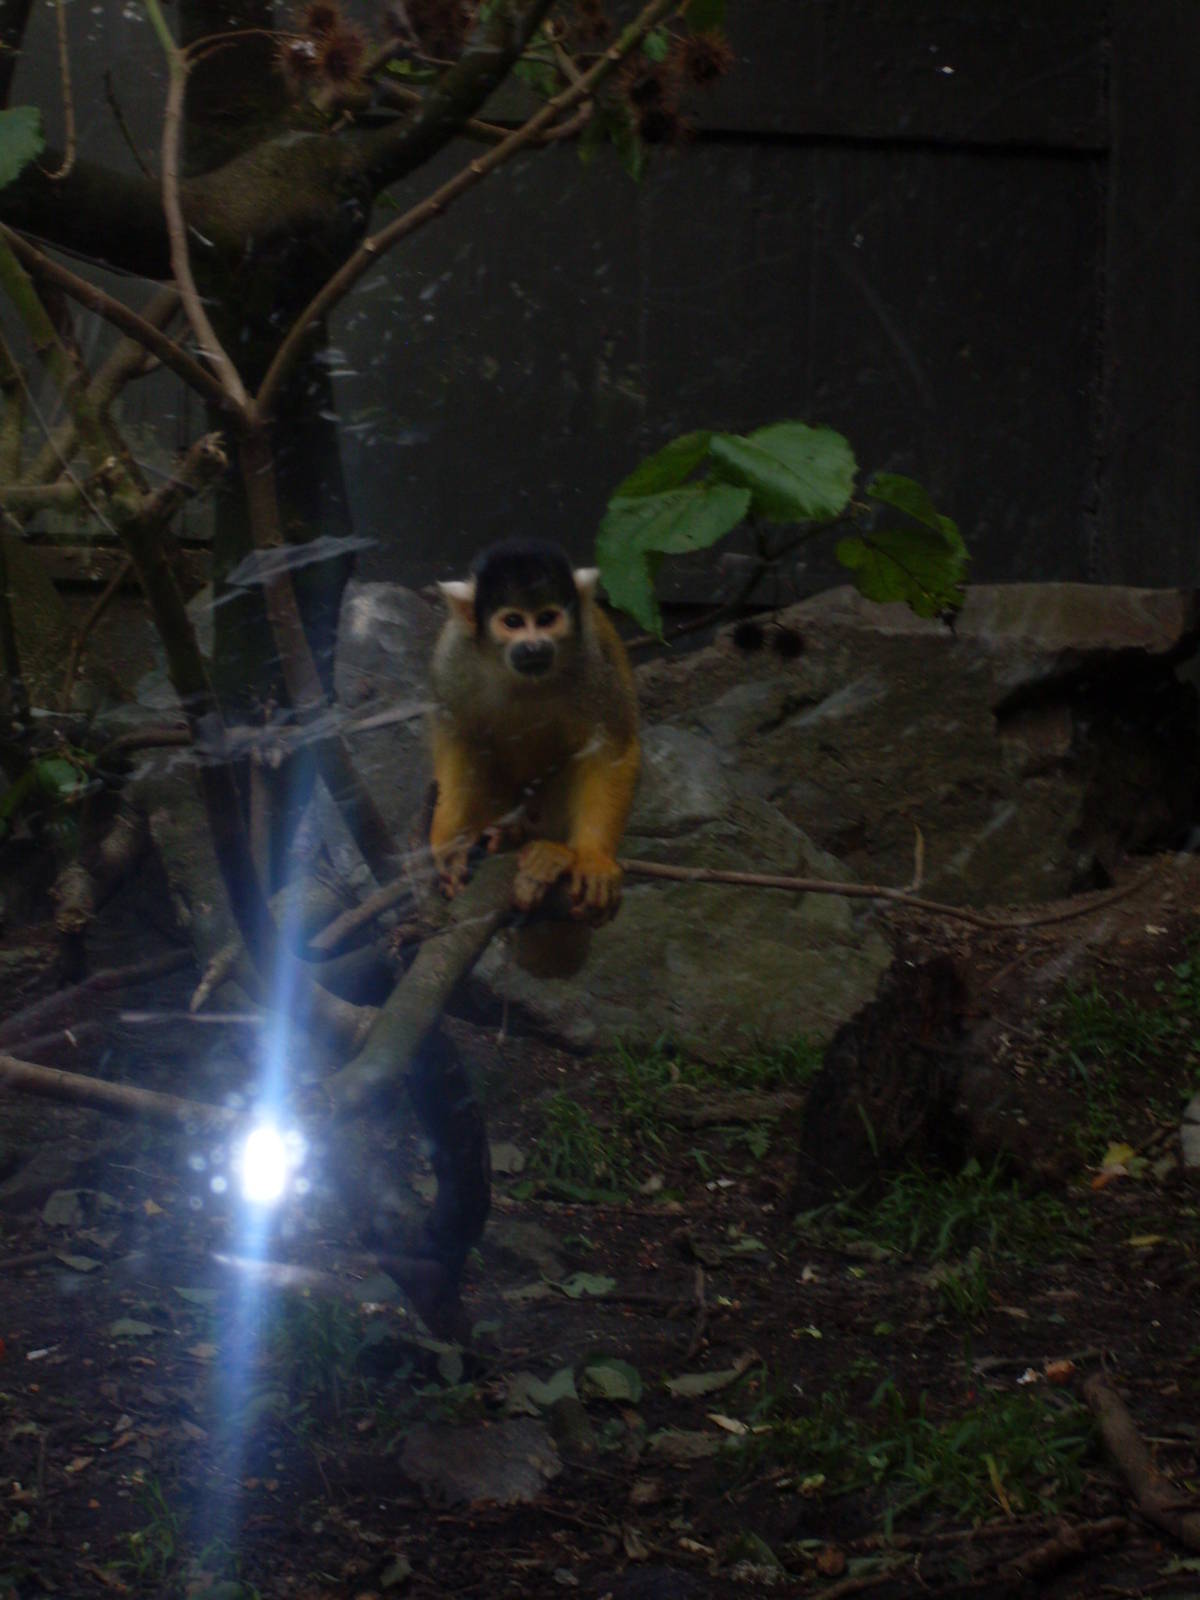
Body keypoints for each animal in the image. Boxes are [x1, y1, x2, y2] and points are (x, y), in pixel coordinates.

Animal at [428, 538, 640, 974]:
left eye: (546, 618)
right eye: (512, 621)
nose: (533, 645)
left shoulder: (593, 658)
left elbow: (611, 748)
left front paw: (593, 859)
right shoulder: (453, 655)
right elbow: (456, 736)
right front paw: (449, 843)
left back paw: (551, 855)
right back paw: (501, 835)